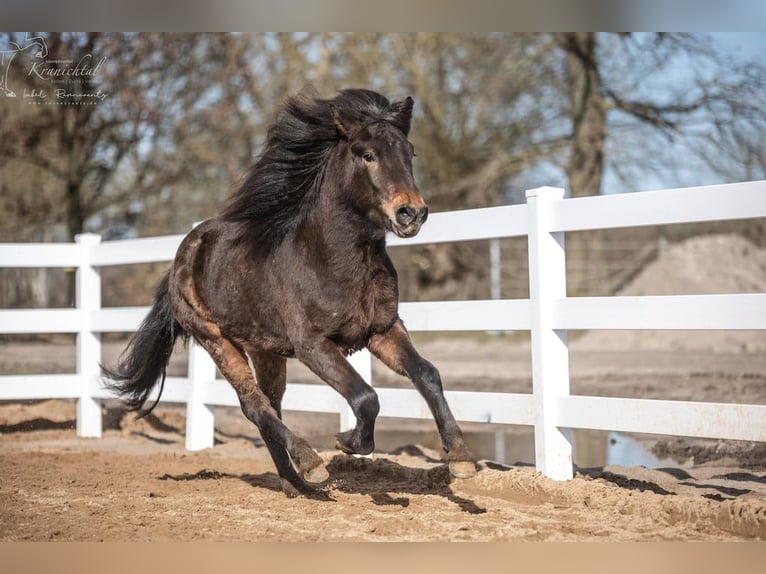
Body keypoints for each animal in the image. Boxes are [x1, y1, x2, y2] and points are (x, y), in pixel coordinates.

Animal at [103, 88, 477, 497]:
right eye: (368, 155)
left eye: (410, 153)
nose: (412, 213)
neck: (333, 259)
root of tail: (185, 251)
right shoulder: (312, 344)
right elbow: (365, 397)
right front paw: (348, 442)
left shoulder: (382, 331)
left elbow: (427, 374)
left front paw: (461, 458)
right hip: (216, 340)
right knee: (255, 406)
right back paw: (310, 465)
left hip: (264, 349)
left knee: (270, 406)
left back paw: (294, 483)